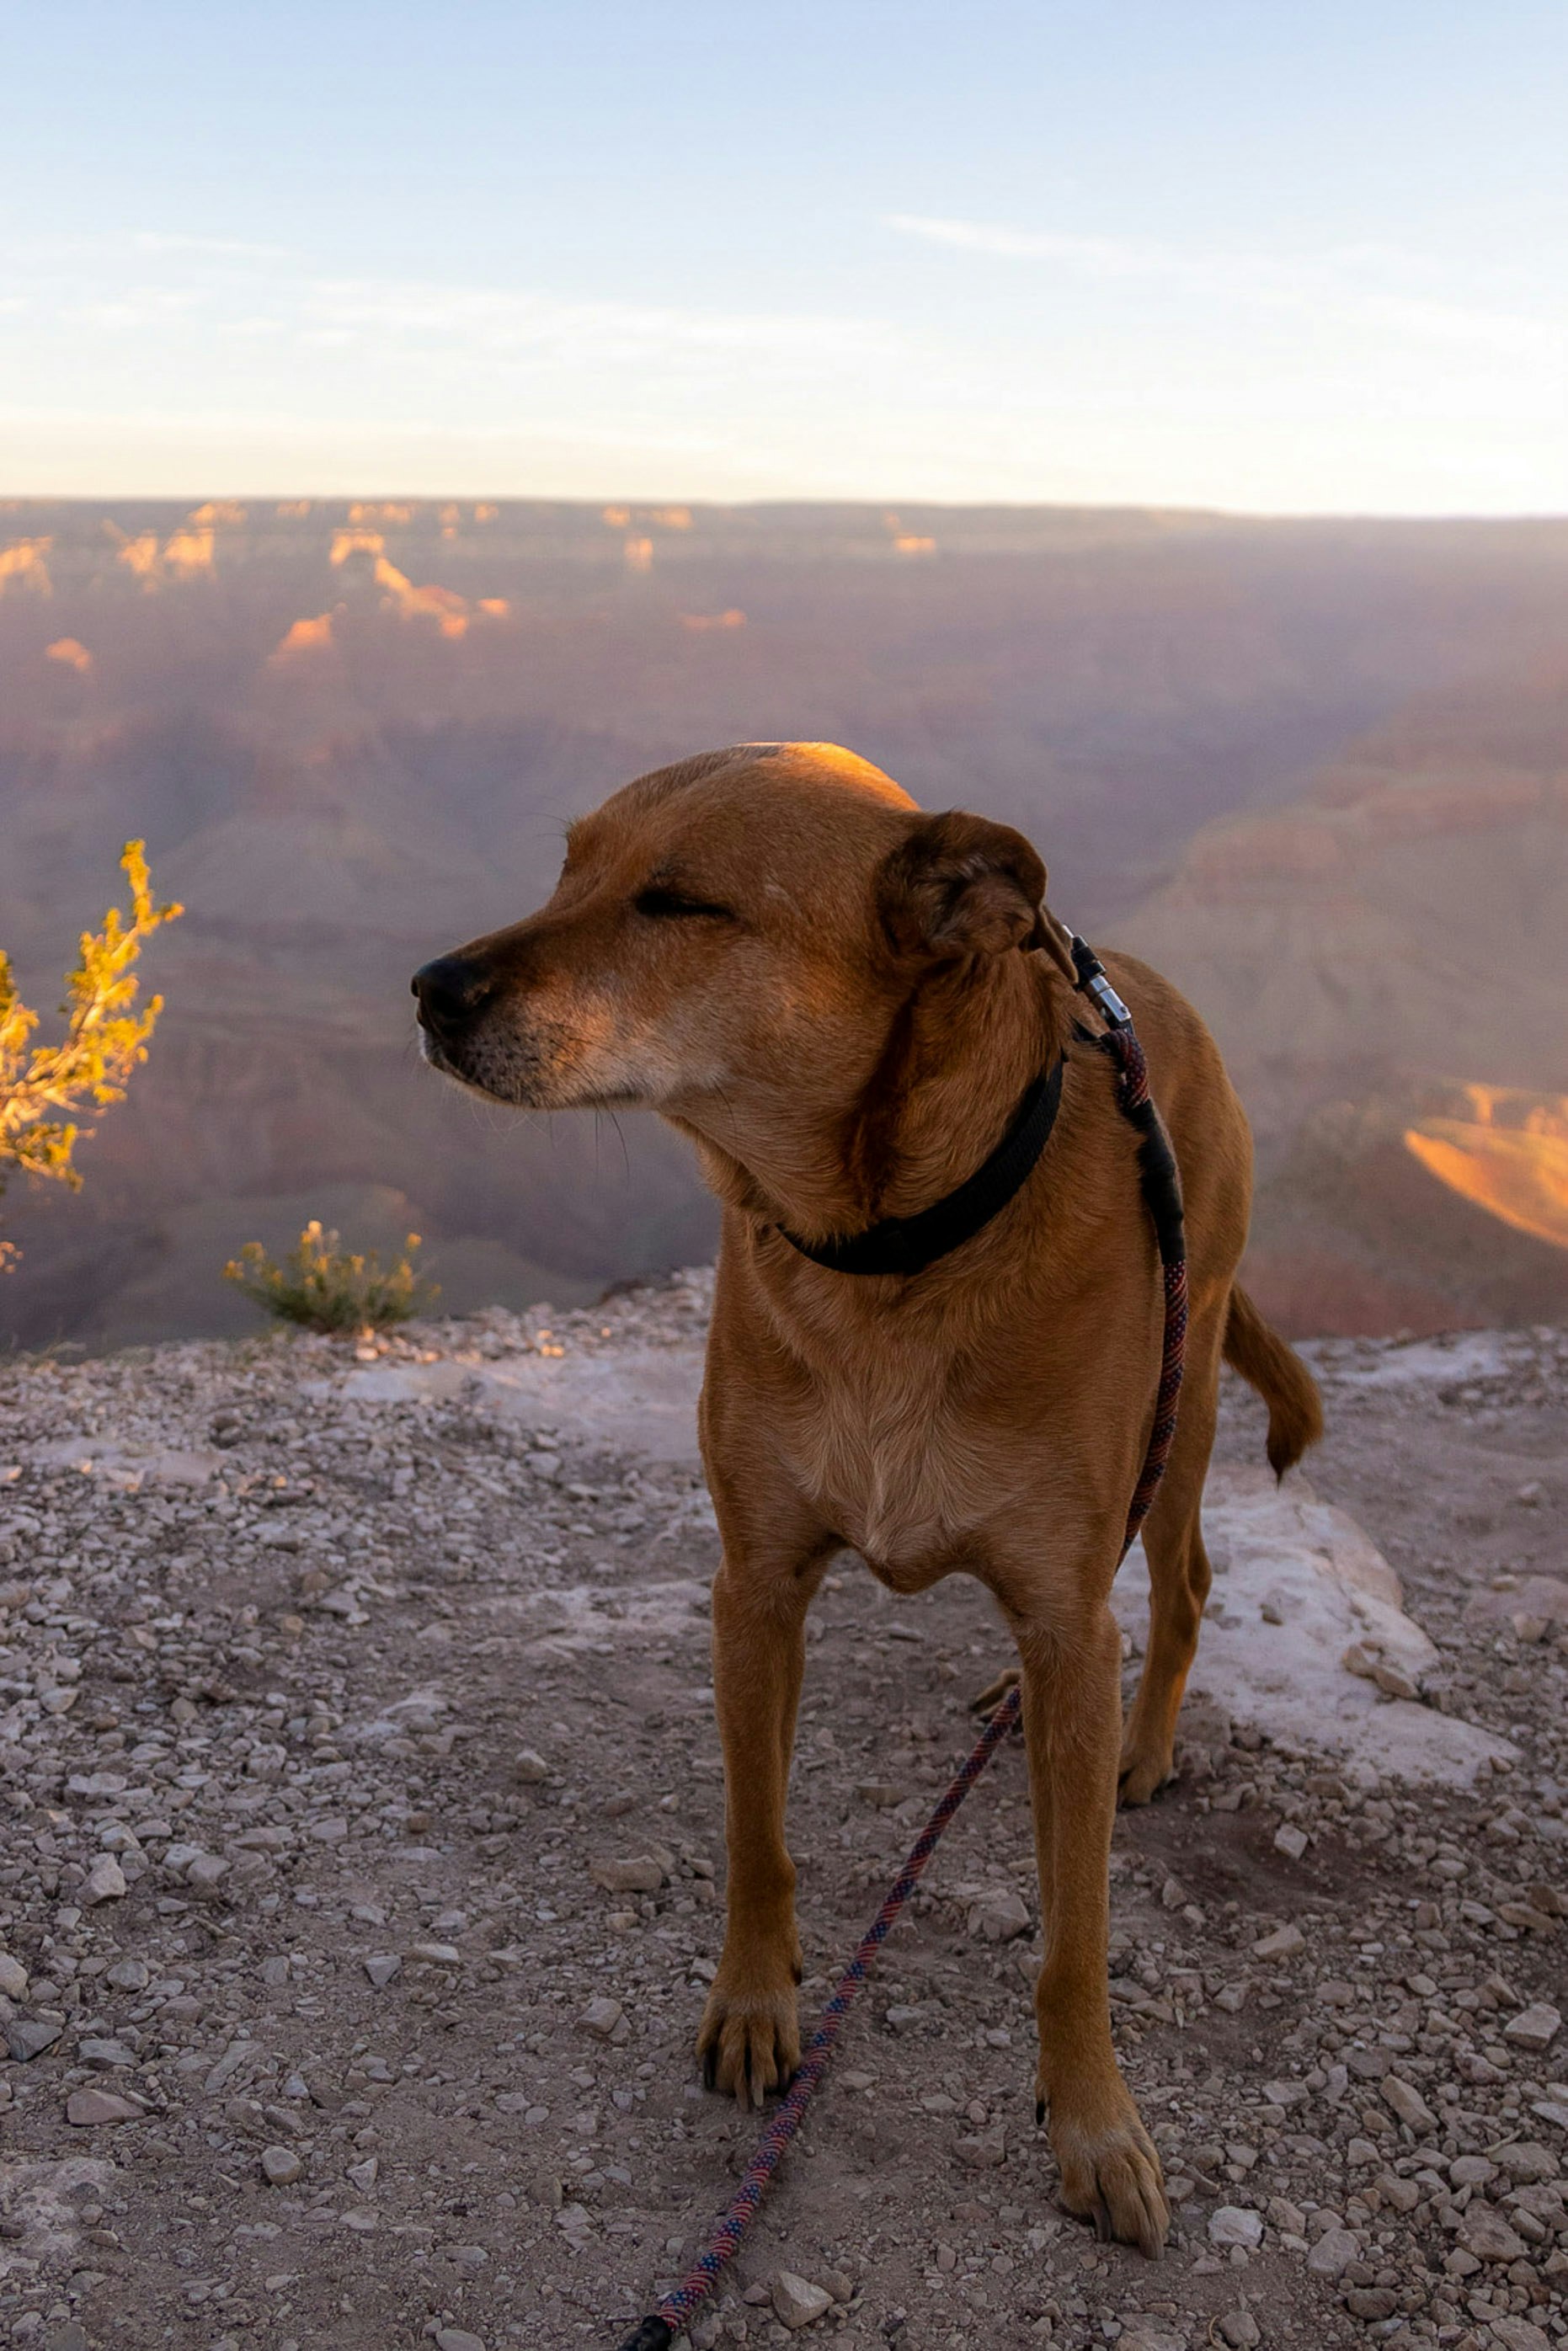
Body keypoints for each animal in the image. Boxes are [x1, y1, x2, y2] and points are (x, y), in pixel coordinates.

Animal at [411, 743, 1316, 2247]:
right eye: (569, 867)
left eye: (678, 903)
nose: (429, 989)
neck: (890, 1252)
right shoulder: (755, 1587)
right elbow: (756, 1834)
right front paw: (754, 2005)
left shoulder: (1068, 1614)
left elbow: (1075, 1938)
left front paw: (1093, 2123)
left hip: (1177, 1416)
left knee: (1178, 1589)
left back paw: (1136, 1746)